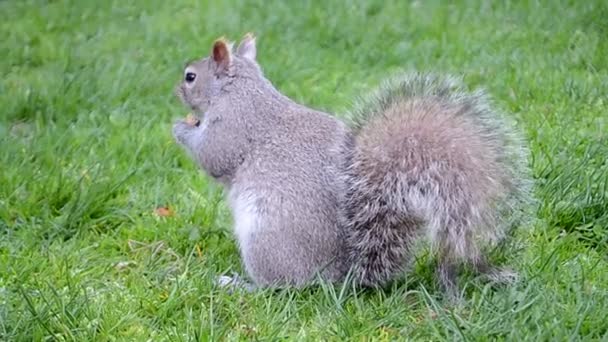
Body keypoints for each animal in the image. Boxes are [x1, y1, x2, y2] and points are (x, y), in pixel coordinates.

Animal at [171, 33, 532, 298]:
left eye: (190, 77)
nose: (175, 92)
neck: (241, 88)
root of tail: (341, 275)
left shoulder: (233, 127)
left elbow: (214, 156)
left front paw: (180, 127)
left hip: (265, 240)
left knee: (279, 287)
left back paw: (239, 285)